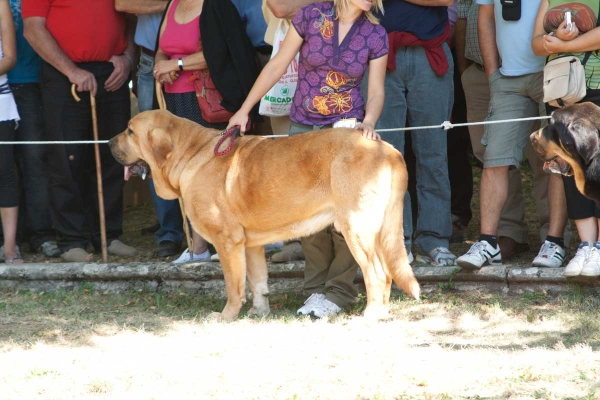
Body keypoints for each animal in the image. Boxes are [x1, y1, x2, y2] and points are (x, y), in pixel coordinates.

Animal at [109, 110, 418, 322]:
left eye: (130, 131)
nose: (109, 142)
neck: (190, 154)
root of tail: (388, 150)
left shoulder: (228, 242)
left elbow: (234, 286)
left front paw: (226, 317)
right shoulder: (251, 245)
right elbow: (257, 283)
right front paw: (259, 312)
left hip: (357, 229)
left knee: (377, 274)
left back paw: (371, 315)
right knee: (388, 273)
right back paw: (382, 313)